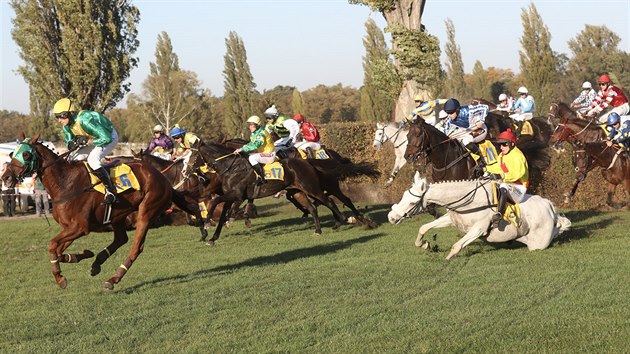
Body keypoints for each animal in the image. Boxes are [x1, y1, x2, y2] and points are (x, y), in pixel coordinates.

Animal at [3, 134, 209, 290]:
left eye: (26, 154)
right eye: (13, 153)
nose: (6, 177)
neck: (65, 183)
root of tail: (163, 179)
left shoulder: (80, 227)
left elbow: (52, 245)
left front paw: (60, 278)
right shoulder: (69, 228)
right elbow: (58, 250)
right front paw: (83, 254)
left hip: (146, 211)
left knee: (136, 247)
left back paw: (113, 279)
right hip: (118, 216)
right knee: (121, 239)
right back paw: (97, 263)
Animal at [200, 142, 350, 245]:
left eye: (194, 156)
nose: (202, 179)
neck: (232, 168)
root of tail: (307, 162)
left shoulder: (236, 195)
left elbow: (215, 202)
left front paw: (207, 223)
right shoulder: (232, 196)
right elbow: (223, 212)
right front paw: (212, 237)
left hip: (312, 188)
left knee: (329, 201)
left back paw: (343, 220)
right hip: (298, 191)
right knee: (313, 207)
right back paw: (319, 230)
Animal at [390, 172, 572, 258]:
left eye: (412, 203)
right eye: (403, 196)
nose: (391, 217)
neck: (469, 201)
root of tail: (549, 207)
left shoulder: (478, 229)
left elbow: (457, 246)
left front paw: (446, 260)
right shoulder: (451, 219)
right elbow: (423, 228)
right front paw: (425, 244)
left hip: (538, 244)